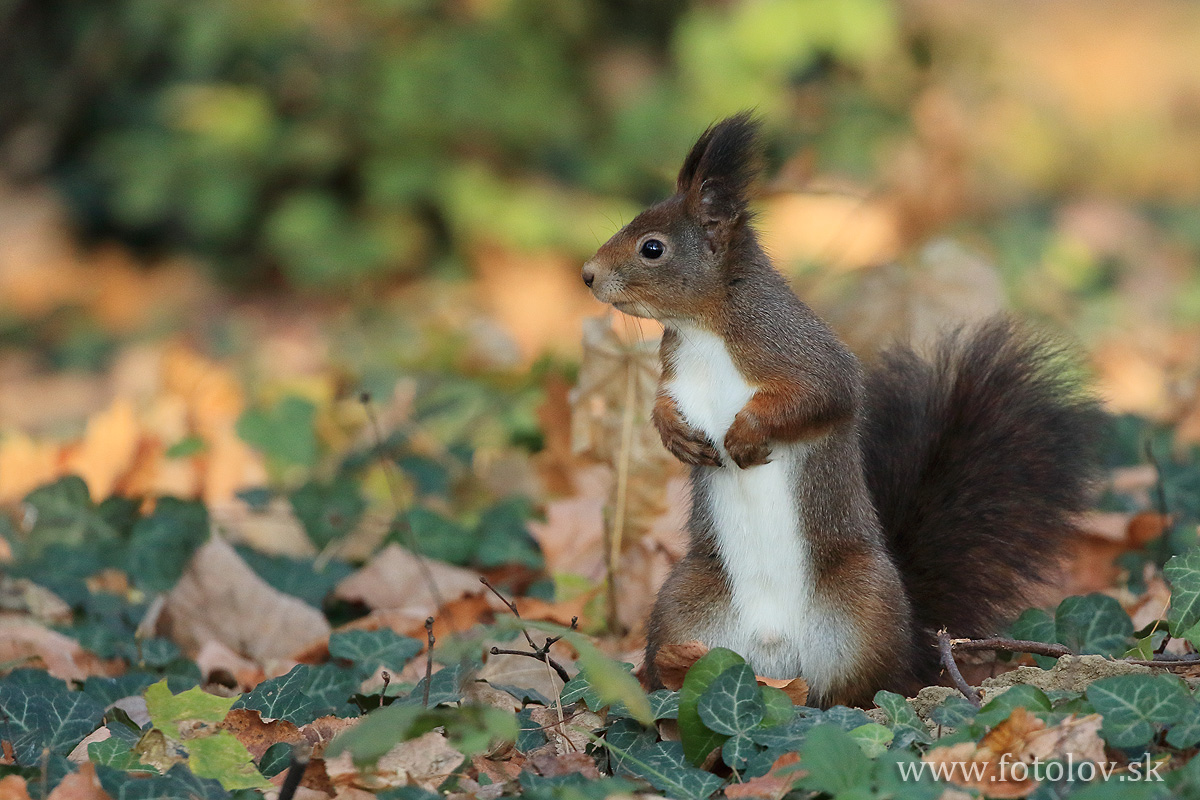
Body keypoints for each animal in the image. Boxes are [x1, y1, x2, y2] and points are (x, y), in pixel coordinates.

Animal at [580, 112, 1104, 705]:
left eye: (652, 248)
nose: (588, 274)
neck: (704, 329)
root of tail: (776, 655)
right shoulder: (678, 374)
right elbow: (664, 405)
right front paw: (676, 436)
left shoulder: (802, 353)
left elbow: (823, 396)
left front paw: (745, 434)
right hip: (683, 607)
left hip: (863, 609)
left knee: (863, 692)